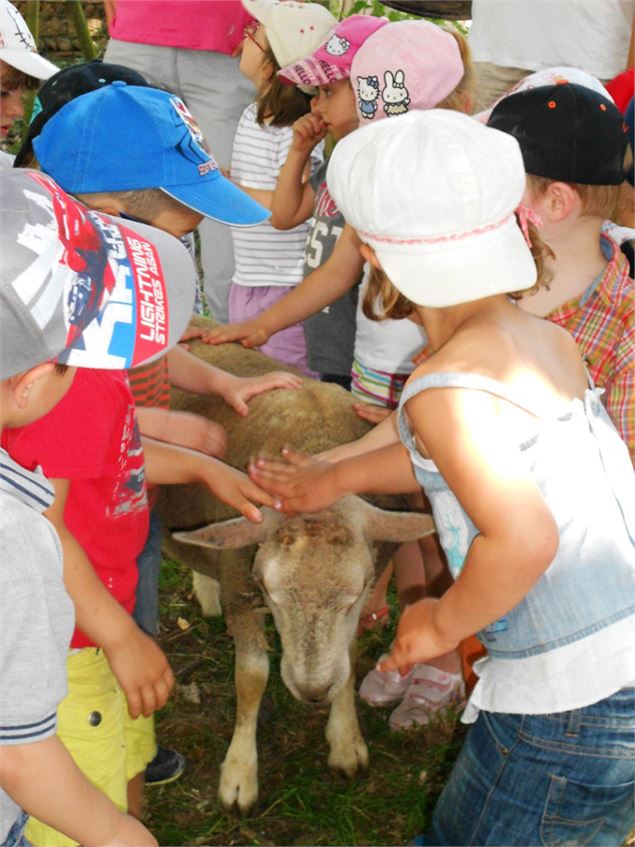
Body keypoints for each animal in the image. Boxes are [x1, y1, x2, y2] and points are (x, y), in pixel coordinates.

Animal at [160, 314, 438, 812]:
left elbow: (348, 656)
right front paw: (239, 776)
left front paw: (346, 742)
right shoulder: (239, 584)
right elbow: (252, 676)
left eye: (357, 594)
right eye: (269, 593)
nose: (311, 692)